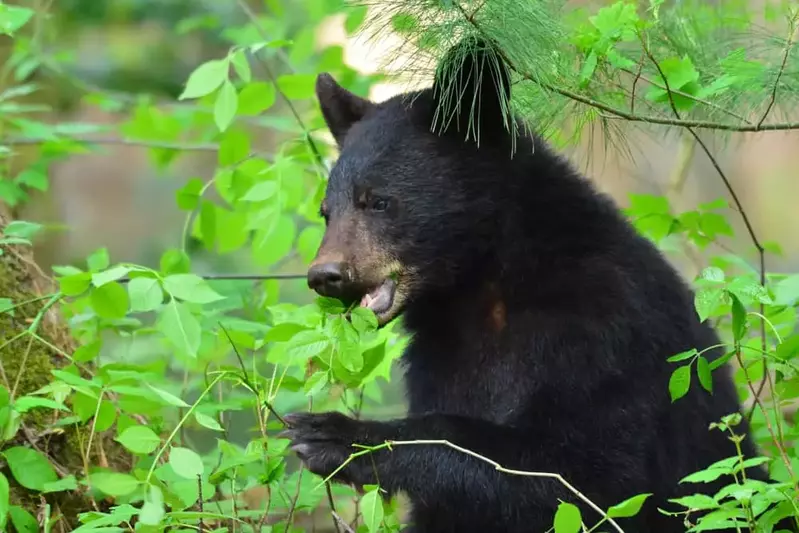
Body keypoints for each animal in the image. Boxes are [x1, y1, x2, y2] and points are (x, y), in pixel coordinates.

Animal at [284, 38, 764, 532]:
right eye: (327, 211)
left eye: (378, 201)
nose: (325, 275)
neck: (484, 282)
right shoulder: (439, 354)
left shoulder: (604, 328)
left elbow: (585, 470)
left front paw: (335, 435)